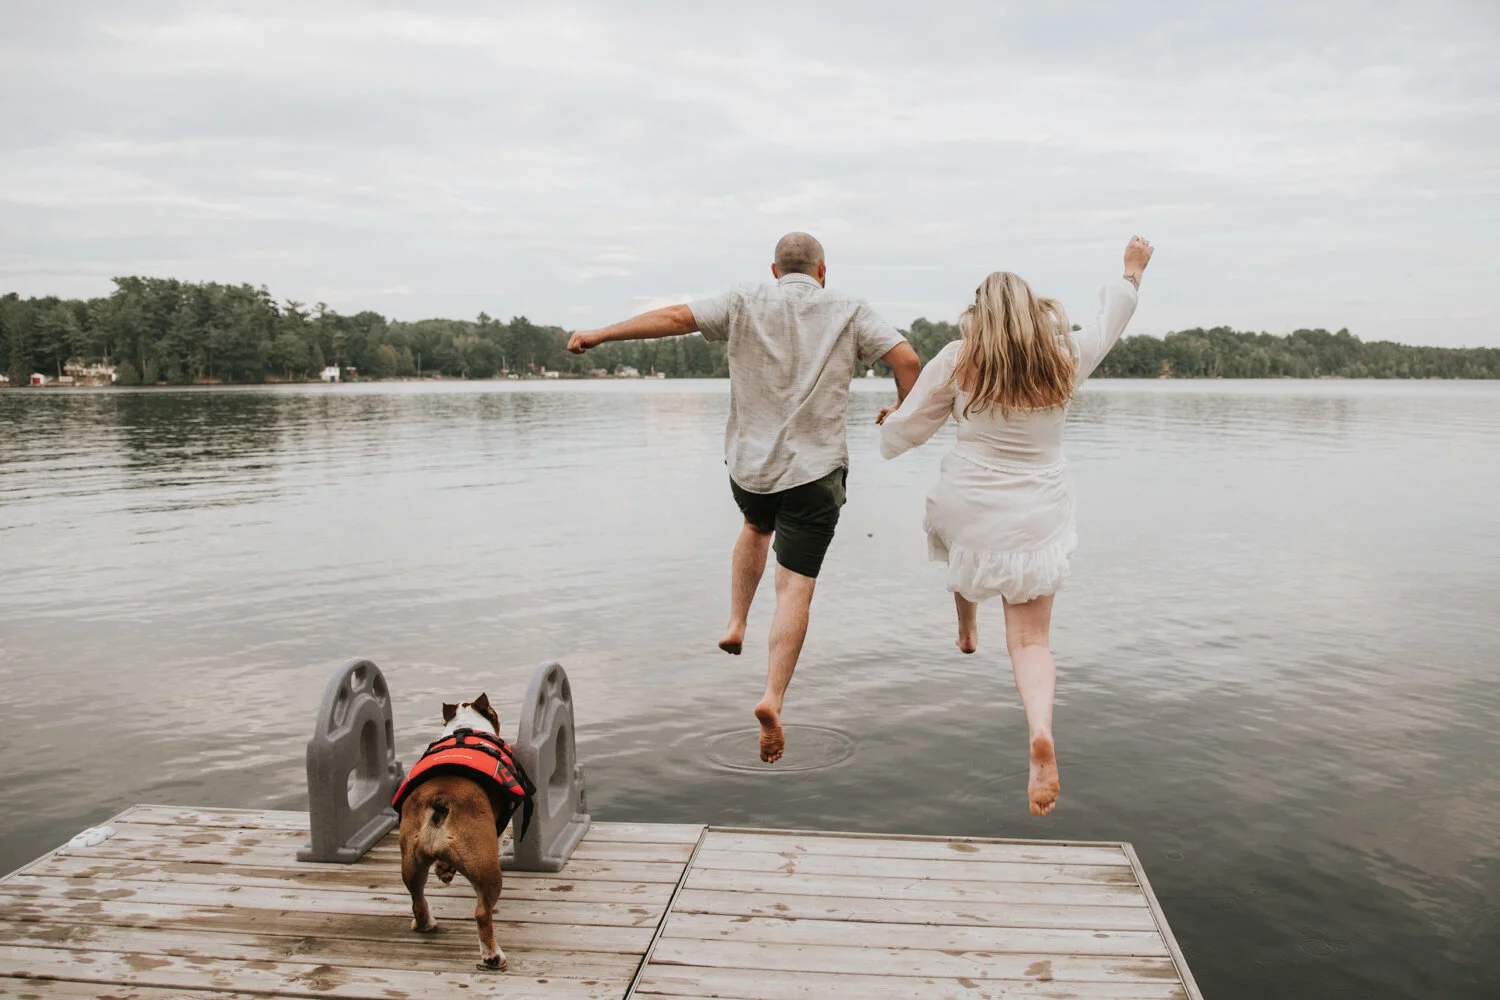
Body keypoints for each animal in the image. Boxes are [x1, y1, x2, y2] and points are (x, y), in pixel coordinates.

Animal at [399, 695, 522, 971]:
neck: (464, 729)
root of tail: (440, 800)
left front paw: (444, 869)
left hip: (411, 862)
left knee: (416, 898)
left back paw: (425, 924)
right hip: (486, 867)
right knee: (482, 914)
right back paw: (492, 956)